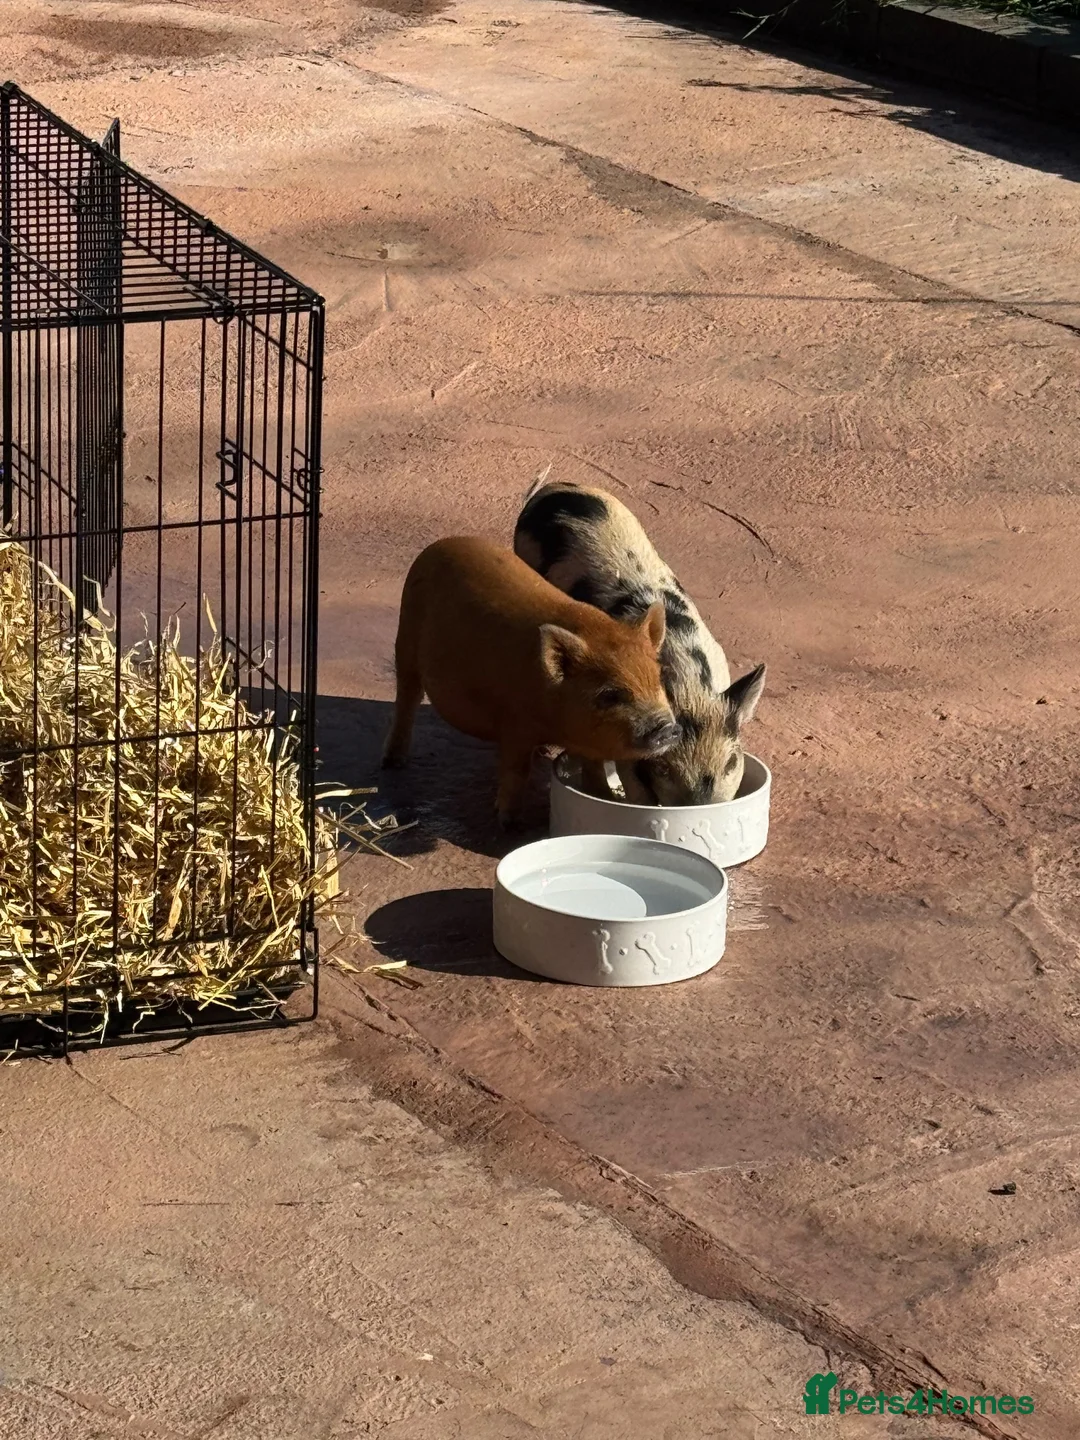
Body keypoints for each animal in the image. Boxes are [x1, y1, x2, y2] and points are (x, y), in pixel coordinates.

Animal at [381, 536, 680, 828]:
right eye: (610, 694)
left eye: (658, 678)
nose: (667, 728)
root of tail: (438, 545)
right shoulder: (516, 724)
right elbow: (517, 770)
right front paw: (508, 822)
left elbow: (594, 770)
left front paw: (605, 797)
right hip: (405, 643)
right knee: (406, 700)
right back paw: (393, 762)